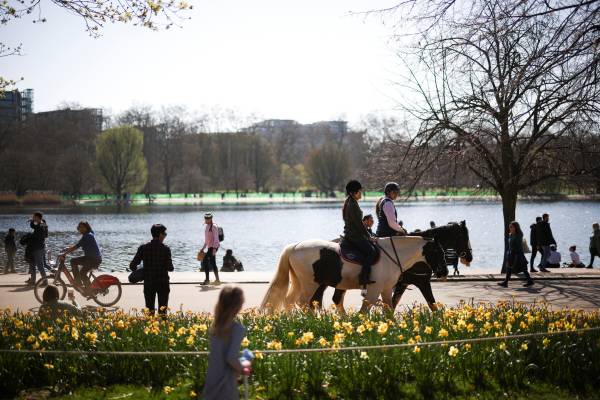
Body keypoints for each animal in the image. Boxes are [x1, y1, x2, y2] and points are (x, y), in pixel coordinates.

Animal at [260, 236, 448, 314]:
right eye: (438, 252)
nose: (444, 272)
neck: (392, 255)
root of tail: (295, 246)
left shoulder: (387, 289)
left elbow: (389, 309)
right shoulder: (374, 290)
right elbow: (365, 311)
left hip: (302, 283)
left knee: (290, 301)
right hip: (310, 284)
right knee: (304, 303)